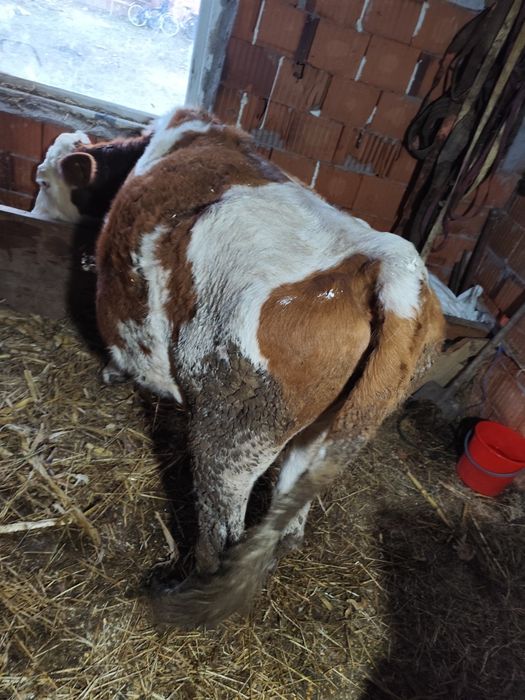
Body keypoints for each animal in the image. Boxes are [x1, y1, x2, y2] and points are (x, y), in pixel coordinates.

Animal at [58, 106, 445, 628]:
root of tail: (385, 260)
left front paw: (112, 374)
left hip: (234, 427)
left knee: (222, 534)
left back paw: (176, 587)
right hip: (324, 431)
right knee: (287, 524)